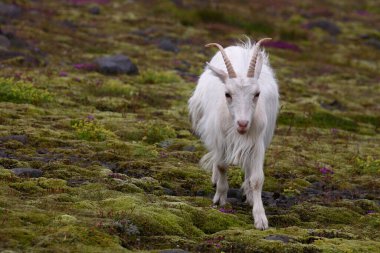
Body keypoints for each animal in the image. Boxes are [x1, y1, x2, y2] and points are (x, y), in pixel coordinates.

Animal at [188, 38, 280, 229]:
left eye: (257, 94)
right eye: (227, 94)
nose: (243, 123)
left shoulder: (257, 142)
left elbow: (257, 179)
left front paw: (260, 218)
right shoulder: (220, 138)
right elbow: (222, 166)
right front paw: (220, 198)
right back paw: (215, 179)